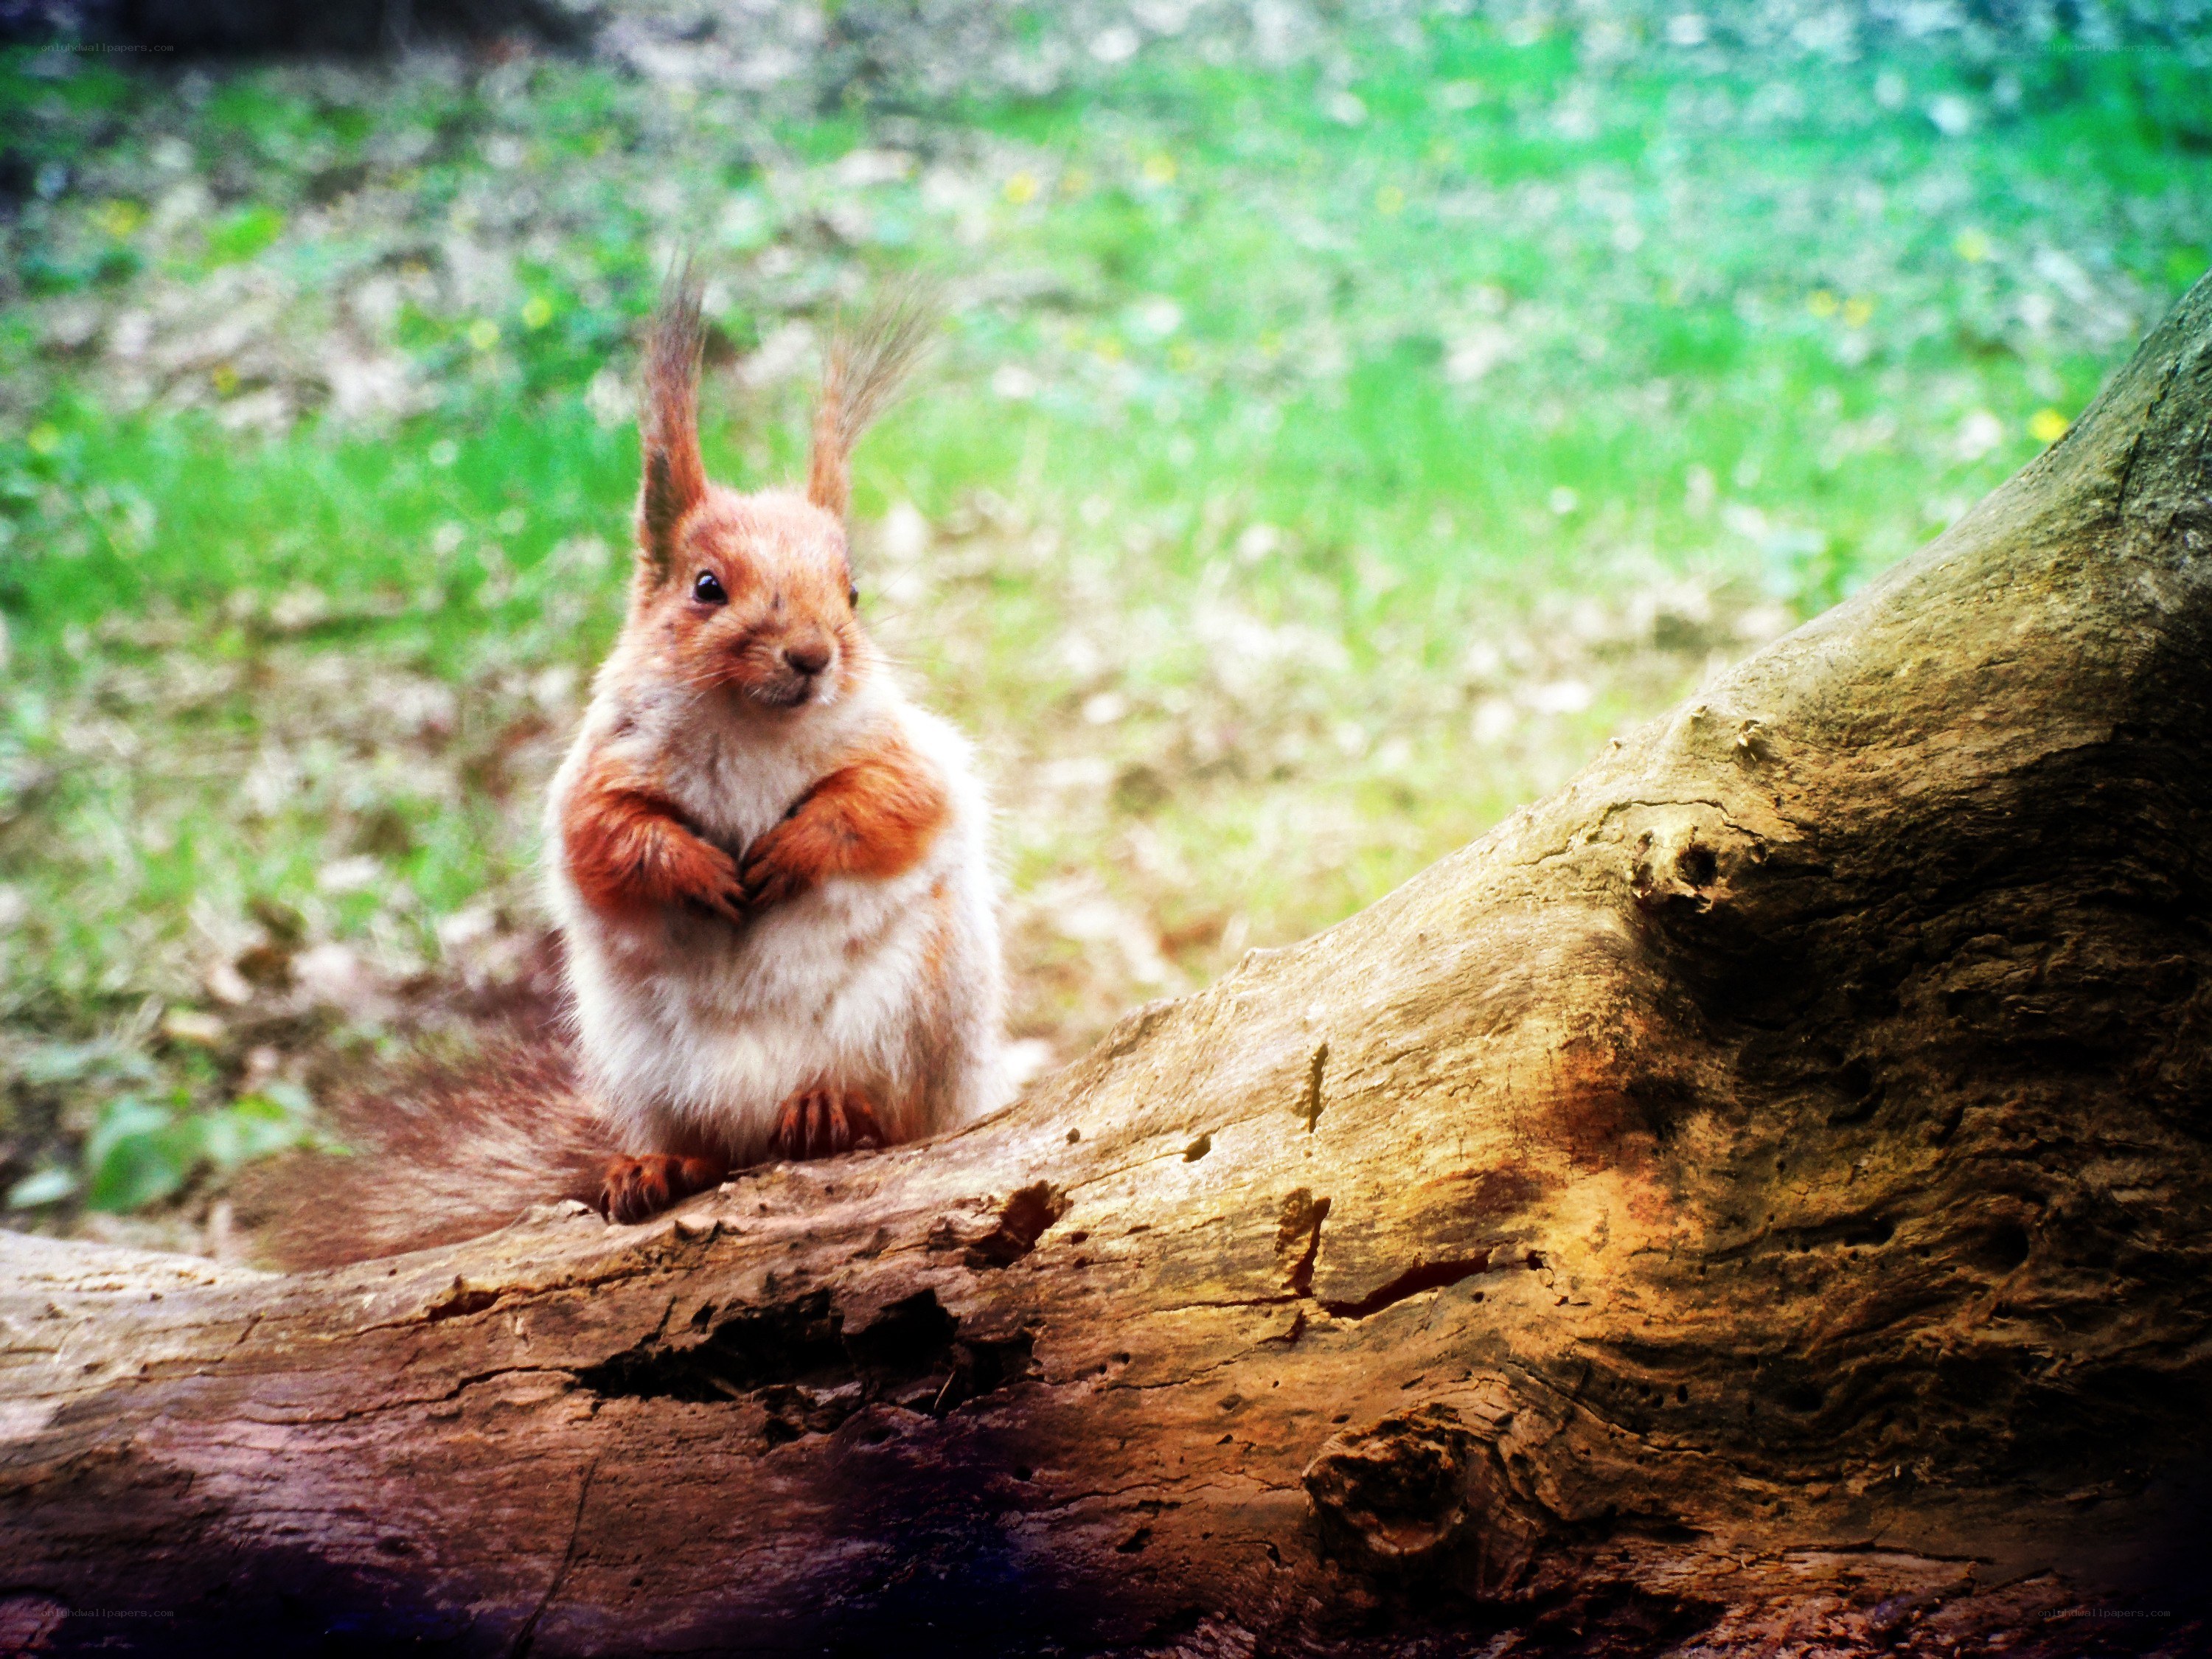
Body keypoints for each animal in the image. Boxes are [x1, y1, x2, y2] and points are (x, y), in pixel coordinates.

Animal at [266, 271, 1005, 1265]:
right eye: (707, 587)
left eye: (853, 594)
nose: (813, 657)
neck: (750, 724)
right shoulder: (597, 772)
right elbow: (610, 838)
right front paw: (697, 869)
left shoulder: (905, 752)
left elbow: (884, 807)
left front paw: (791, 849)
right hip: (648, 1065)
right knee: (710, 1151)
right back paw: (657, 1166)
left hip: (908, 1025)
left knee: (885, 1118)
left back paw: (832, 1114)